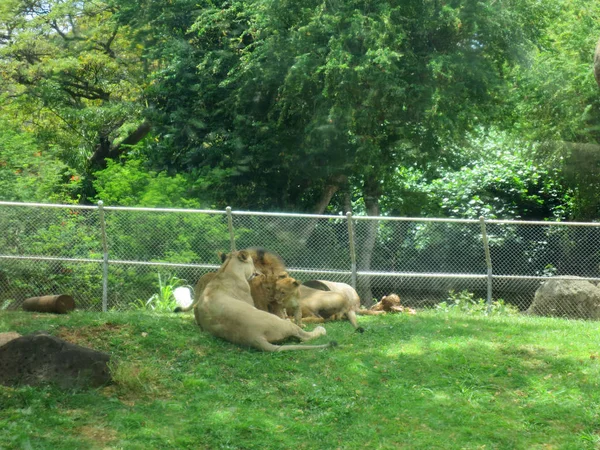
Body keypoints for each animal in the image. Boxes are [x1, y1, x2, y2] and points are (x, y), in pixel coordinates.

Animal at [195, 250, 336, 352]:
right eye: (252, 263)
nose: (256, 272)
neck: (225, 272)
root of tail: (254, 337)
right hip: (282, 324)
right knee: (303, 336)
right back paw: (319, 330)